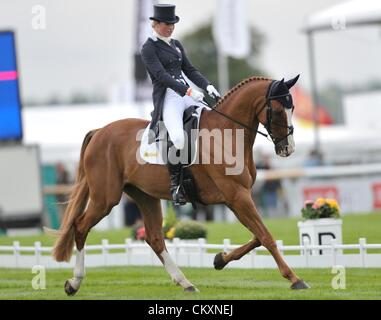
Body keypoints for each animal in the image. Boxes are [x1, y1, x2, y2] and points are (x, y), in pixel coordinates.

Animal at [47, 75, 308, 296]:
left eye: (293, 109)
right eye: (277, 111)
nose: (288, 149)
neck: (226, 133)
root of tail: (100, 131)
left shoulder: (238, 198)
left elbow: (259, 235)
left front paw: (220, 259)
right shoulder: (236, 196)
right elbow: (265, 236)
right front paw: (295, 279)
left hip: (145, 196)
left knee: (154, 238)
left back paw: (185, 282)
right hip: (105, 199)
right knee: (80, 227)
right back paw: (74, 283)